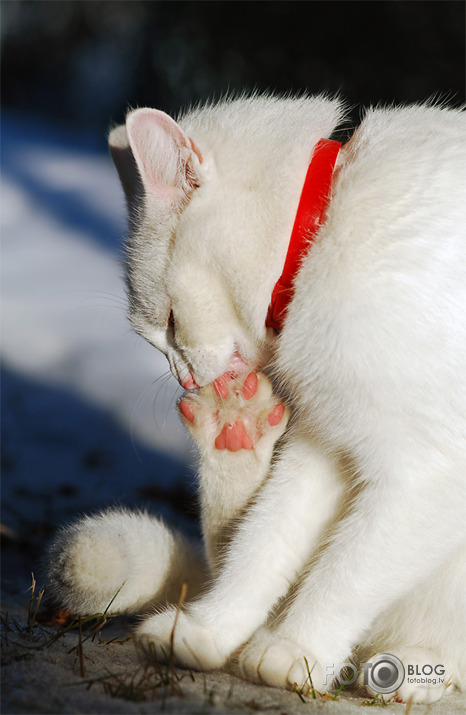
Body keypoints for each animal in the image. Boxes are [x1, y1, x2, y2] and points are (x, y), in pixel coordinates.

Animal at [48, 95, 466, 704]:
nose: (183, 377)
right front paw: (212, 627)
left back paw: (418, 668)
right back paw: (232, 437)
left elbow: (349, 569)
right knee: (226, 540)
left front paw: (297, 647)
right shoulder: (326, 442)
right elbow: (265, 541)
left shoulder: (430, 471)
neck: (324, 224)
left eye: (169, 322)